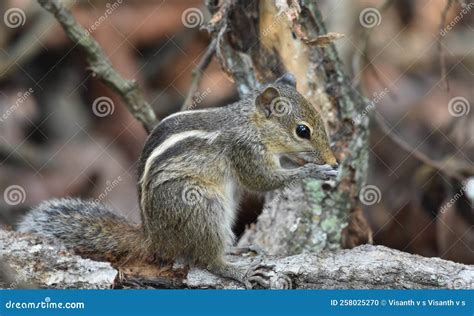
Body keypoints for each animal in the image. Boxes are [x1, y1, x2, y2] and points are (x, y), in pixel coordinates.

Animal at [17, 73, 336, 288]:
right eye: (303, 130)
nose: (333, 159)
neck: (251, 123)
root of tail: (154, 238)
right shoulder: (244, 150)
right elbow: (262, 181)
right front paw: (313, 170)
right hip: (199, 201)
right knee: (206, 259)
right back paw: (239, 270)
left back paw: (237, 249)